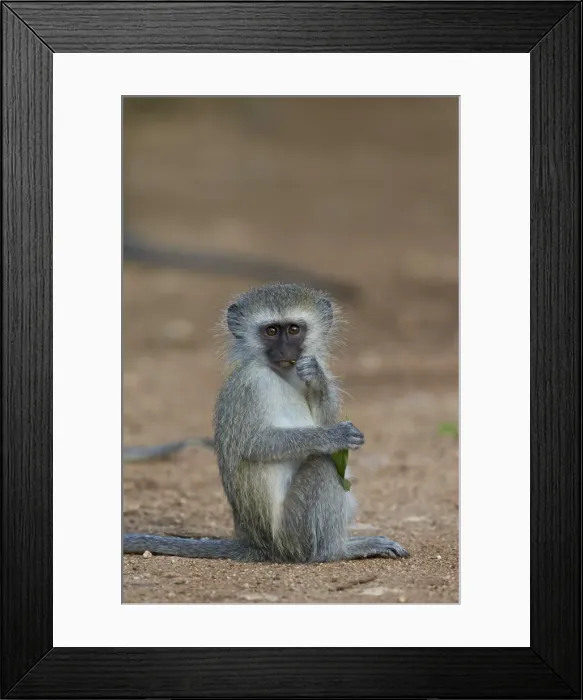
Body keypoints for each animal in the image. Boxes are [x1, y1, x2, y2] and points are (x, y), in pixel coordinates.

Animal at [124, 283, 409, 563]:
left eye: (293, 329)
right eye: (271, 331)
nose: (284, 351)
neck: (281, 373)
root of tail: (259, 545)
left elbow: (322, 413)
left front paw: (315, 377)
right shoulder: (252, 382)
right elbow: (255, 443)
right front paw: (335, 436)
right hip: (294, 532)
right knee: (324, 465)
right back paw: (336, 551)